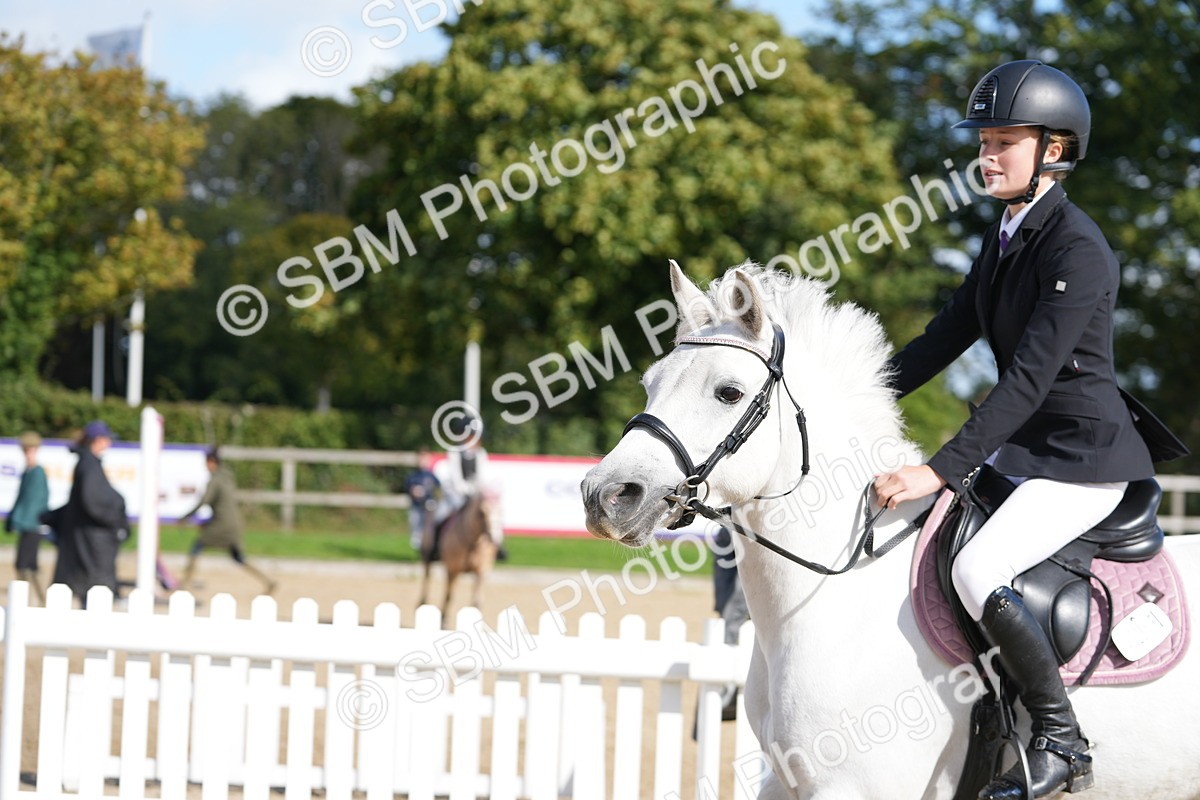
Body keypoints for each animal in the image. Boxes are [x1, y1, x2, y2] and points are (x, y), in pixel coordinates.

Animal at [581, 261, 1200, 799]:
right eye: (650, 384)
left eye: (728, 392)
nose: (605, 496)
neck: (842, 595)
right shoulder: (785, 782)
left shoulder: (857, 789)